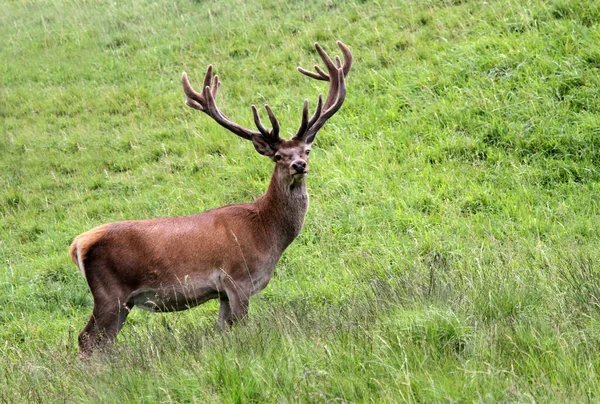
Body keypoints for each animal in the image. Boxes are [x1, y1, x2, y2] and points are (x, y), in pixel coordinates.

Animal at [69, 41, 352, 356]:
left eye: (307, 150)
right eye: (279, 156)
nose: (299, 165)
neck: (267, 232)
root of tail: (77, 244)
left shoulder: (223, 292)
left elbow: (222, 330)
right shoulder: (237, 278)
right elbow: (241, 327)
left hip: (122, 302)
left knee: (101, 342)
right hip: (110, 293)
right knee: (87, 339)